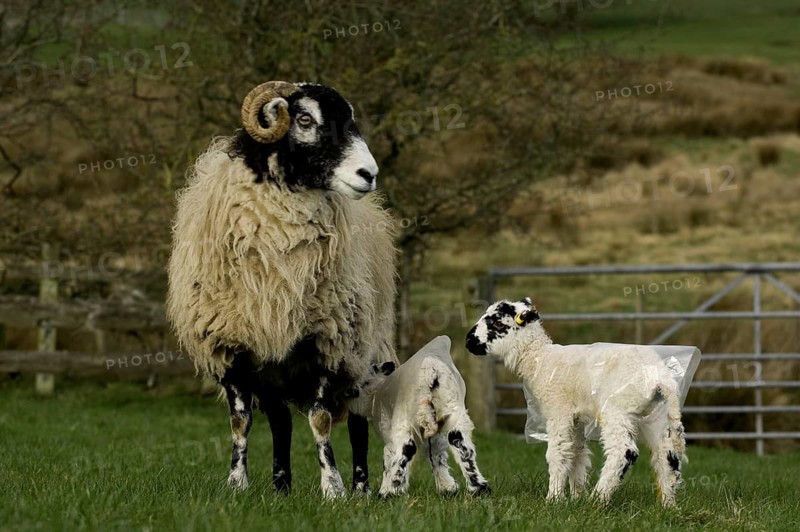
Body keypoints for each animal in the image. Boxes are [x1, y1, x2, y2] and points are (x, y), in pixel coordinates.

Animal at [167, 81, 397, 498]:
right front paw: (236, 484)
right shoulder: (232, 345)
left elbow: (321, 420)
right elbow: (241, 423)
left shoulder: (325, 341)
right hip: (273, 366)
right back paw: (280, 486)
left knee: (357, 423)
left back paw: (361, 488)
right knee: (280, 422)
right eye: (304, 119)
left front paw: (333, 488)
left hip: (364, 355)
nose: (369, 174)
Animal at [352, 336, 490, 497]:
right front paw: (447, 488)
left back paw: (391, 490)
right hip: (453, 410)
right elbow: (436, 455)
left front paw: (389, 488)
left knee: (407, 448)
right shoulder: (434, 435)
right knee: (461, 444)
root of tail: (431, 373)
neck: (377, 392)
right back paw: (478, 488)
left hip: (405, 419)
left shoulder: (390, 433)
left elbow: (389, 458)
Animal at [466, 298, 688, 507]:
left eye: (497, 323)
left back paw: (598, 499)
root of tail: (661, 378)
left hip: (617, 409)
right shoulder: (577, 419)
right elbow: (577, 455)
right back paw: (668, 505)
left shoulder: (559, 412)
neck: (538, 358)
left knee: (624, 451)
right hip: (654, 415)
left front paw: (554, 499)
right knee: (667, 455)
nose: (468, 341)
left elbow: (558, 453)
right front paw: (575, 497)